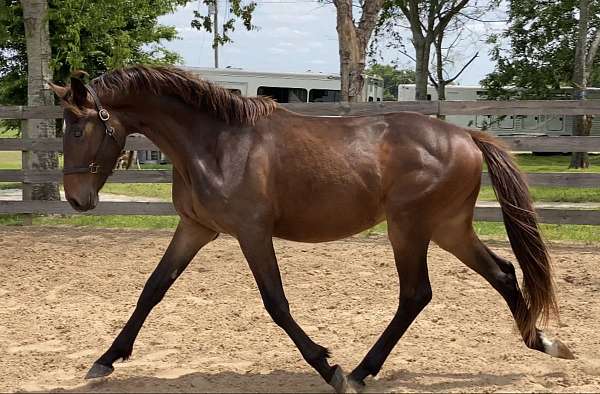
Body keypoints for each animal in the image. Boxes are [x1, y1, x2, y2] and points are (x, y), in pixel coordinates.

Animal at [49, 66, 576, 392]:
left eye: (76, 128)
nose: (77, 199)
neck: (216, 143)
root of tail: (465, 134)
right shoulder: (195, 229)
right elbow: (152, 290)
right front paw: (105, 359)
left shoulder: (252, 232)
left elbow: (276, 304)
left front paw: (328, 366)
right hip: (448, 229)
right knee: (503, 273)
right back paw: (545, 342)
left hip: (409, 229)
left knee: (416, 294)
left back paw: (360, 372)